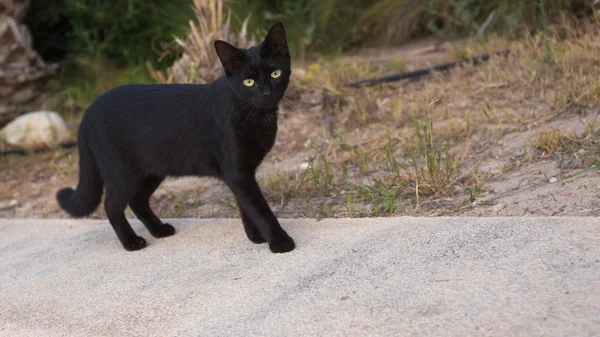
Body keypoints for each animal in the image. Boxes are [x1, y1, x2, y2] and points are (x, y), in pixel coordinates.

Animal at [57, 21, 296, 252]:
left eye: (275, 74)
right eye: (249, 82)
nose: (267, 93)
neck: (254, 114)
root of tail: (88, 112)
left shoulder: (241, 173)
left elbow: (245, 205)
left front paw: (256, 237)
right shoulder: (236, 171)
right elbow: (259, 208)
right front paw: (279, 242)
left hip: (151, 169)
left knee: (137, 201)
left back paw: (159, 230)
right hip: (122, 173)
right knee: (112, 206)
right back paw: (131, 242)